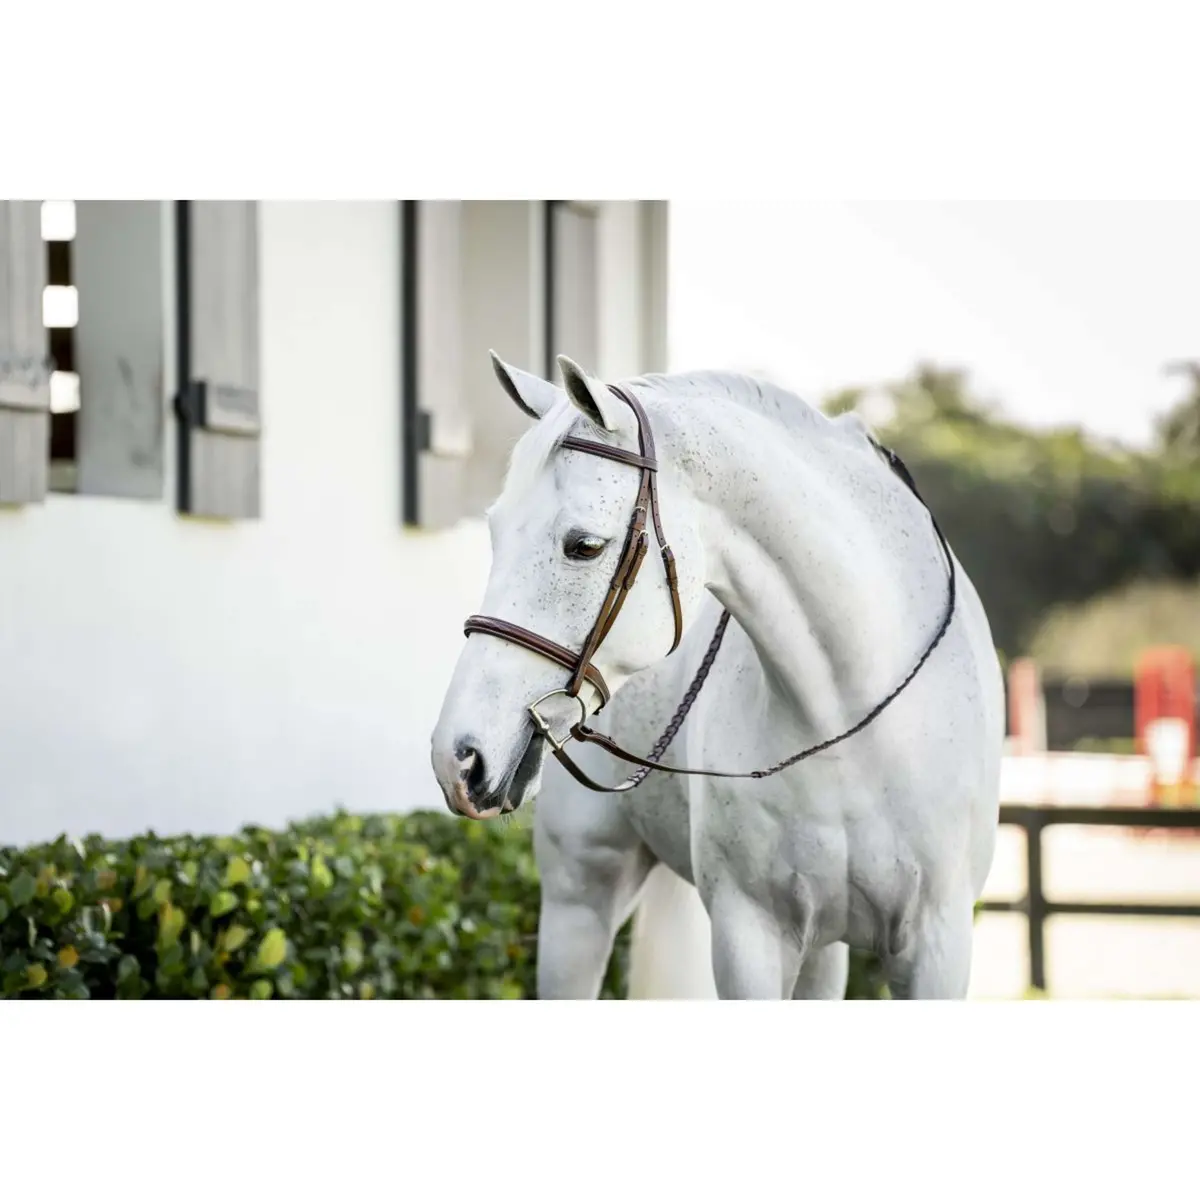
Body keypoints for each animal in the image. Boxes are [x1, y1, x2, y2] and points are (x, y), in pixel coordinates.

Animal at [430, 353, 1004, 999]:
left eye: (584, 546)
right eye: (495, 531)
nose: (458, 757)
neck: (851, 723)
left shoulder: (936, 945)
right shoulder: (750, 936)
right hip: (581, 897)